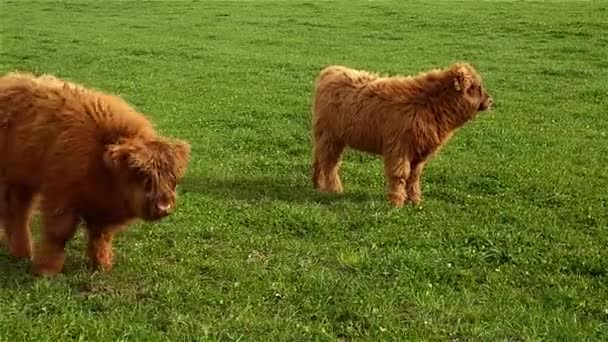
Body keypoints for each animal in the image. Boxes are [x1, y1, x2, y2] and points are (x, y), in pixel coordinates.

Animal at [0, 71, 190, 276]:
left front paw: (102, 264)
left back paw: (22, 252)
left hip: (21, 180)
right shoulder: (60, 196)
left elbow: (101, 236)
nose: (163, 206)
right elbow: (58, 234)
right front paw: (47, 270)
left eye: (173, 177)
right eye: (139, 172)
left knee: (18, 214)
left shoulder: (103, 209)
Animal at [312, 63, 492, 208]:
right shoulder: (399, 148)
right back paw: (335, 190)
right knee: (329, 164)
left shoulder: (418, 154)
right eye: (476, 86)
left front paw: (415, 201)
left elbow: (414, 177)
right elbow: (400, 175)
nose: (491, 100)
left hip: (326, 138)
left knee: (319, 159)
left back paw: (317, 185)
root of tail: (331, 70)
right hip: (330, 137)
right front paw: (397, 203)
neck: (428, 104)